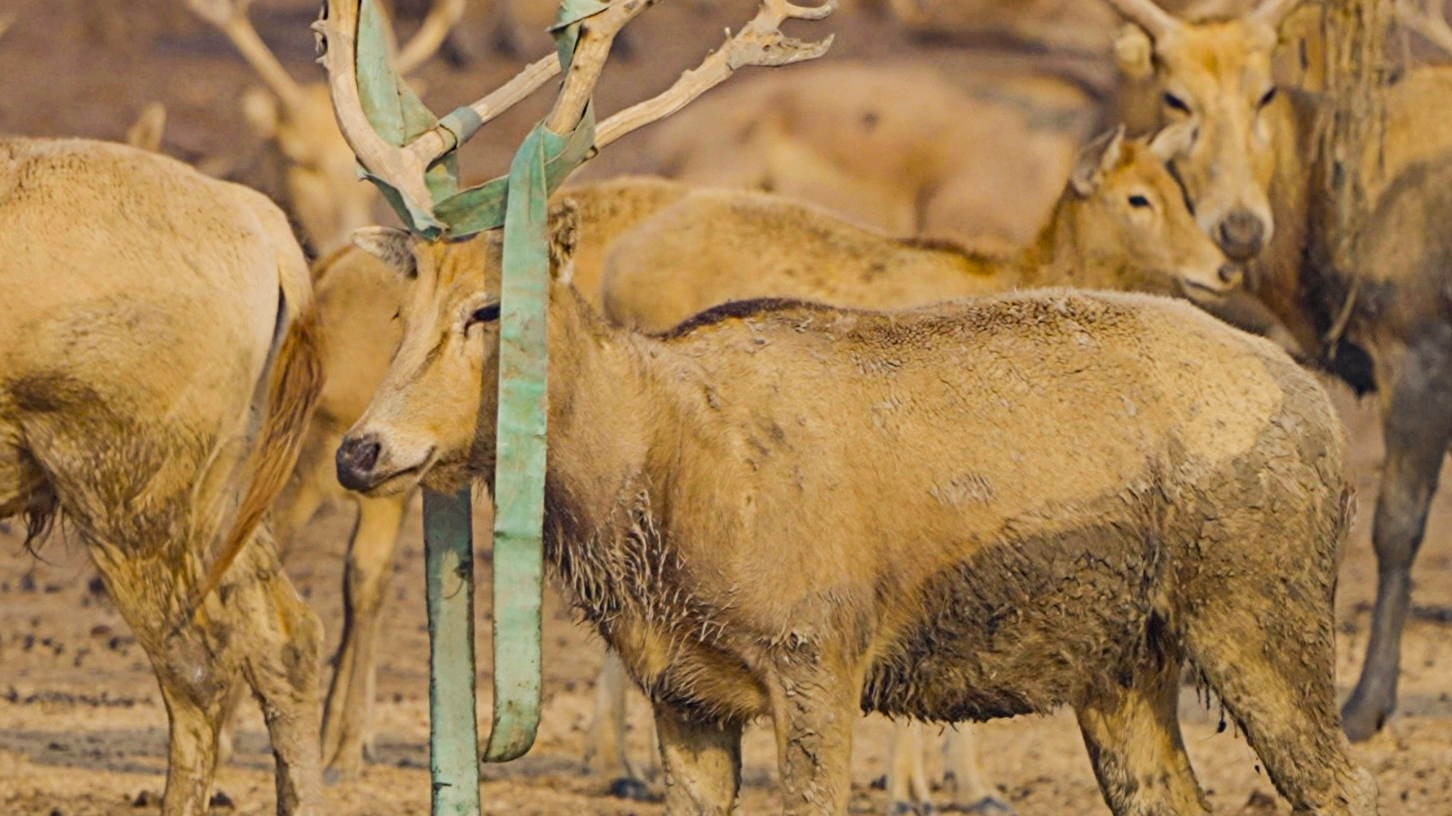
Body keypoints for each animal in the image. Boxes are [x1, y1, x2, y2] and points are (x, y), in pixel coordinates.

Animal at [1103, 0, 1452, 742]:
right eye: (1175, 97)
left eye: (1265, 91)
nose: (1239, 227)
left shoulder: (1420, 347)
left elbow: (1397, 529)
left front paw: (1367, 703)